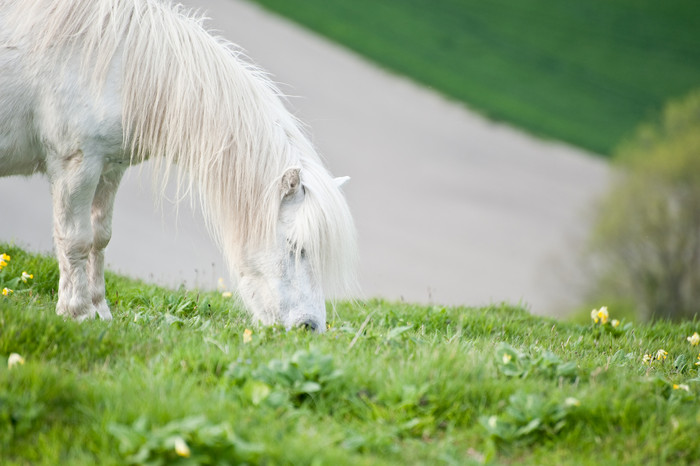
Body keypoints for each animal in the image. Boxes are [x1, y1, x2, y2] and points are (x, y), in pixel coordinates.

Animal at [0, 0, 358, 332]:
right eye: (296, 247)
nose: (310, 327)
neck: (122, 64)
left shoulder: (109, 167)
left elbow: (100, 237)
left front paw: (100, 310)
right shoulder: (77, 164)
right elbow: (75, 239)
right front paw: (78, 312)